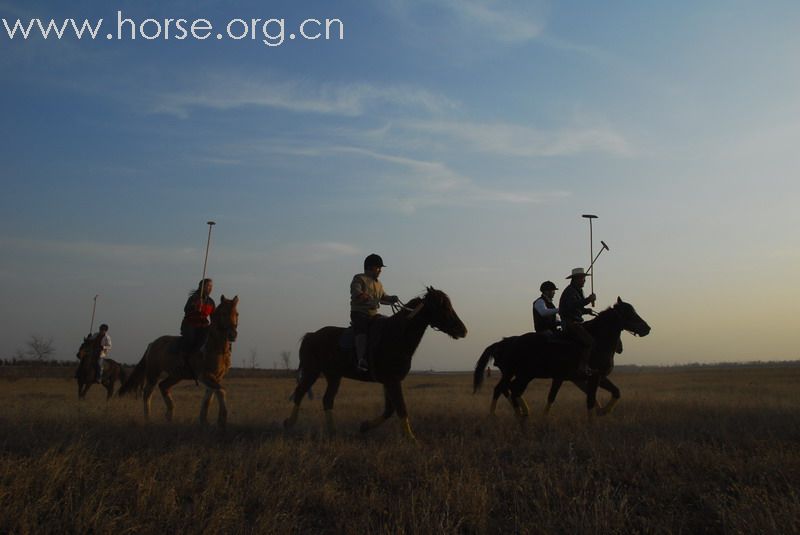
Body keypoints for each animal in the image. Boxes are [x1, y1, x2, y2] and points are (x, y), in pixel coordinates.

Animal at [117, 296, 239, 430]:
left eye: (236, 314)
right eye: (224, 313)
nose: (233, 334)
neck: (215, 347)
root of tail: (152, 344)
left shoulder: (216, 377)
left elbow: (209, 398)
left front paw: (204, 421)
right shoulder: (205, 376)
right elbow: (221, 391)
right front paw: (221, 420)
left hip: (176, 376)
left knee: (163, 386)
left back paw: (169, 415)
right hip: (153, 374)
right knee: (148, 393)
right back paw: (148, 419)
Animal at [282, 286, 466, 442]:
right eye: (444, 307)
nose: (463, 330)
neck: (396, 335)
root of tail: (311, 335)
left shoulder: (389, 381)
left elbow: (389, 410)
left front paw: (365, 426)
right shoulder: (392, 381)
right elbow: (401, 408)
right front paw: (411, 439)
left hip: (334, 376)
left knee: (327, 400)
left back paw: (332, 432)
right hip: (312, 371)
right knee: (300, 393)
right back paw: (289, 423)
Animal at [476, 298, 648, 418]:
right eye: (629, 312)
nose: (647, 328)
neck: (597, 340)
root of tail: (505, 342)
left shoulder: (588, 377)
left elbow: (615, 392)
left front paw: (603, 411)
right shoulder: (589, 376)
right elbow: (587, 399)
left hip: (519, 374)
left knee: (508, 389)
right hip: (520, 374)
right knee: (506, 389)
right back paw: (508, 414)